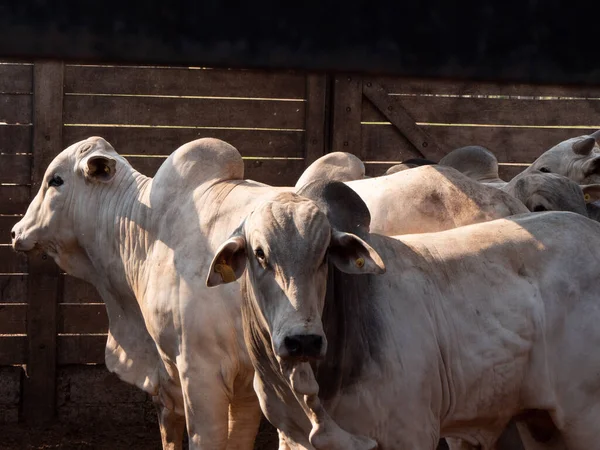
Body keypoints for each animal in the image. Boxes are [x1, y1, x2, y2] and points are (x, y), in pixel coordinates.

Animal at [8, 137, 528, 450]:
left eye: (55, 180)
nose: (16, 232)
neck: (150, 229)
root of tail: (505, 200)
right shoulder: (242, 382)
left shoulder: (199, 371)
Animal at [209, 183, 600, 450]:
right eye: (260, 254)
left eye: (323, 256)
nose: (302, 340)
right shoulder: (293, 439)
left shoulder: (411, 432)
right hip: (541, 422)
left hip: (583, 418)